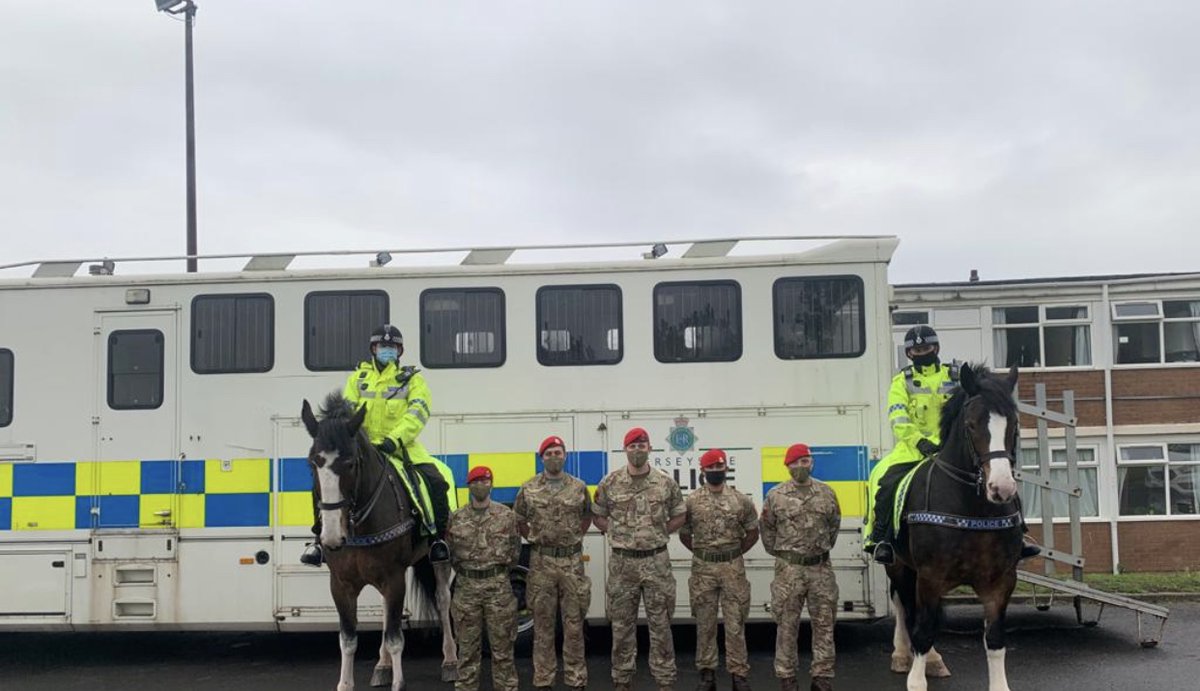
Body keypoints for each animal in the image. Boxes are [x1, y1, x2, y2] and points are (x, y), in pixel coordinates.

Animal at [302, 393, 460, 691]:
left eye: (351, 463)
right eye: (312, 463)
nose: (331, 535)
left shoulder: (394, 577)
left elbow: (396, 638)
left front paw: (399, 682)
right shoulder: (341, 585)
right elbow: (348, 640)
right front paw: (347, 683)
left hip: (439, 561)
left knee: (443, 599)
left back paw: (450, 660)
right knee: (387, 612)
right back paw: (382, 666)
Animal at [883, 364, 1022, 686]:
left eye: (1014, 425)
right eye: (971, 425)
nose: (1001, 488)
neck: (973, 509)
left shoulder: (1001, 581)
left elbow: (995, 640)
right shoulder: (930, 577)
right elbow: (922, 632)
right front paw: (916, 681)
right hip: (897, 565)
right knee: (902, 606)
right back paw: (901, 654)